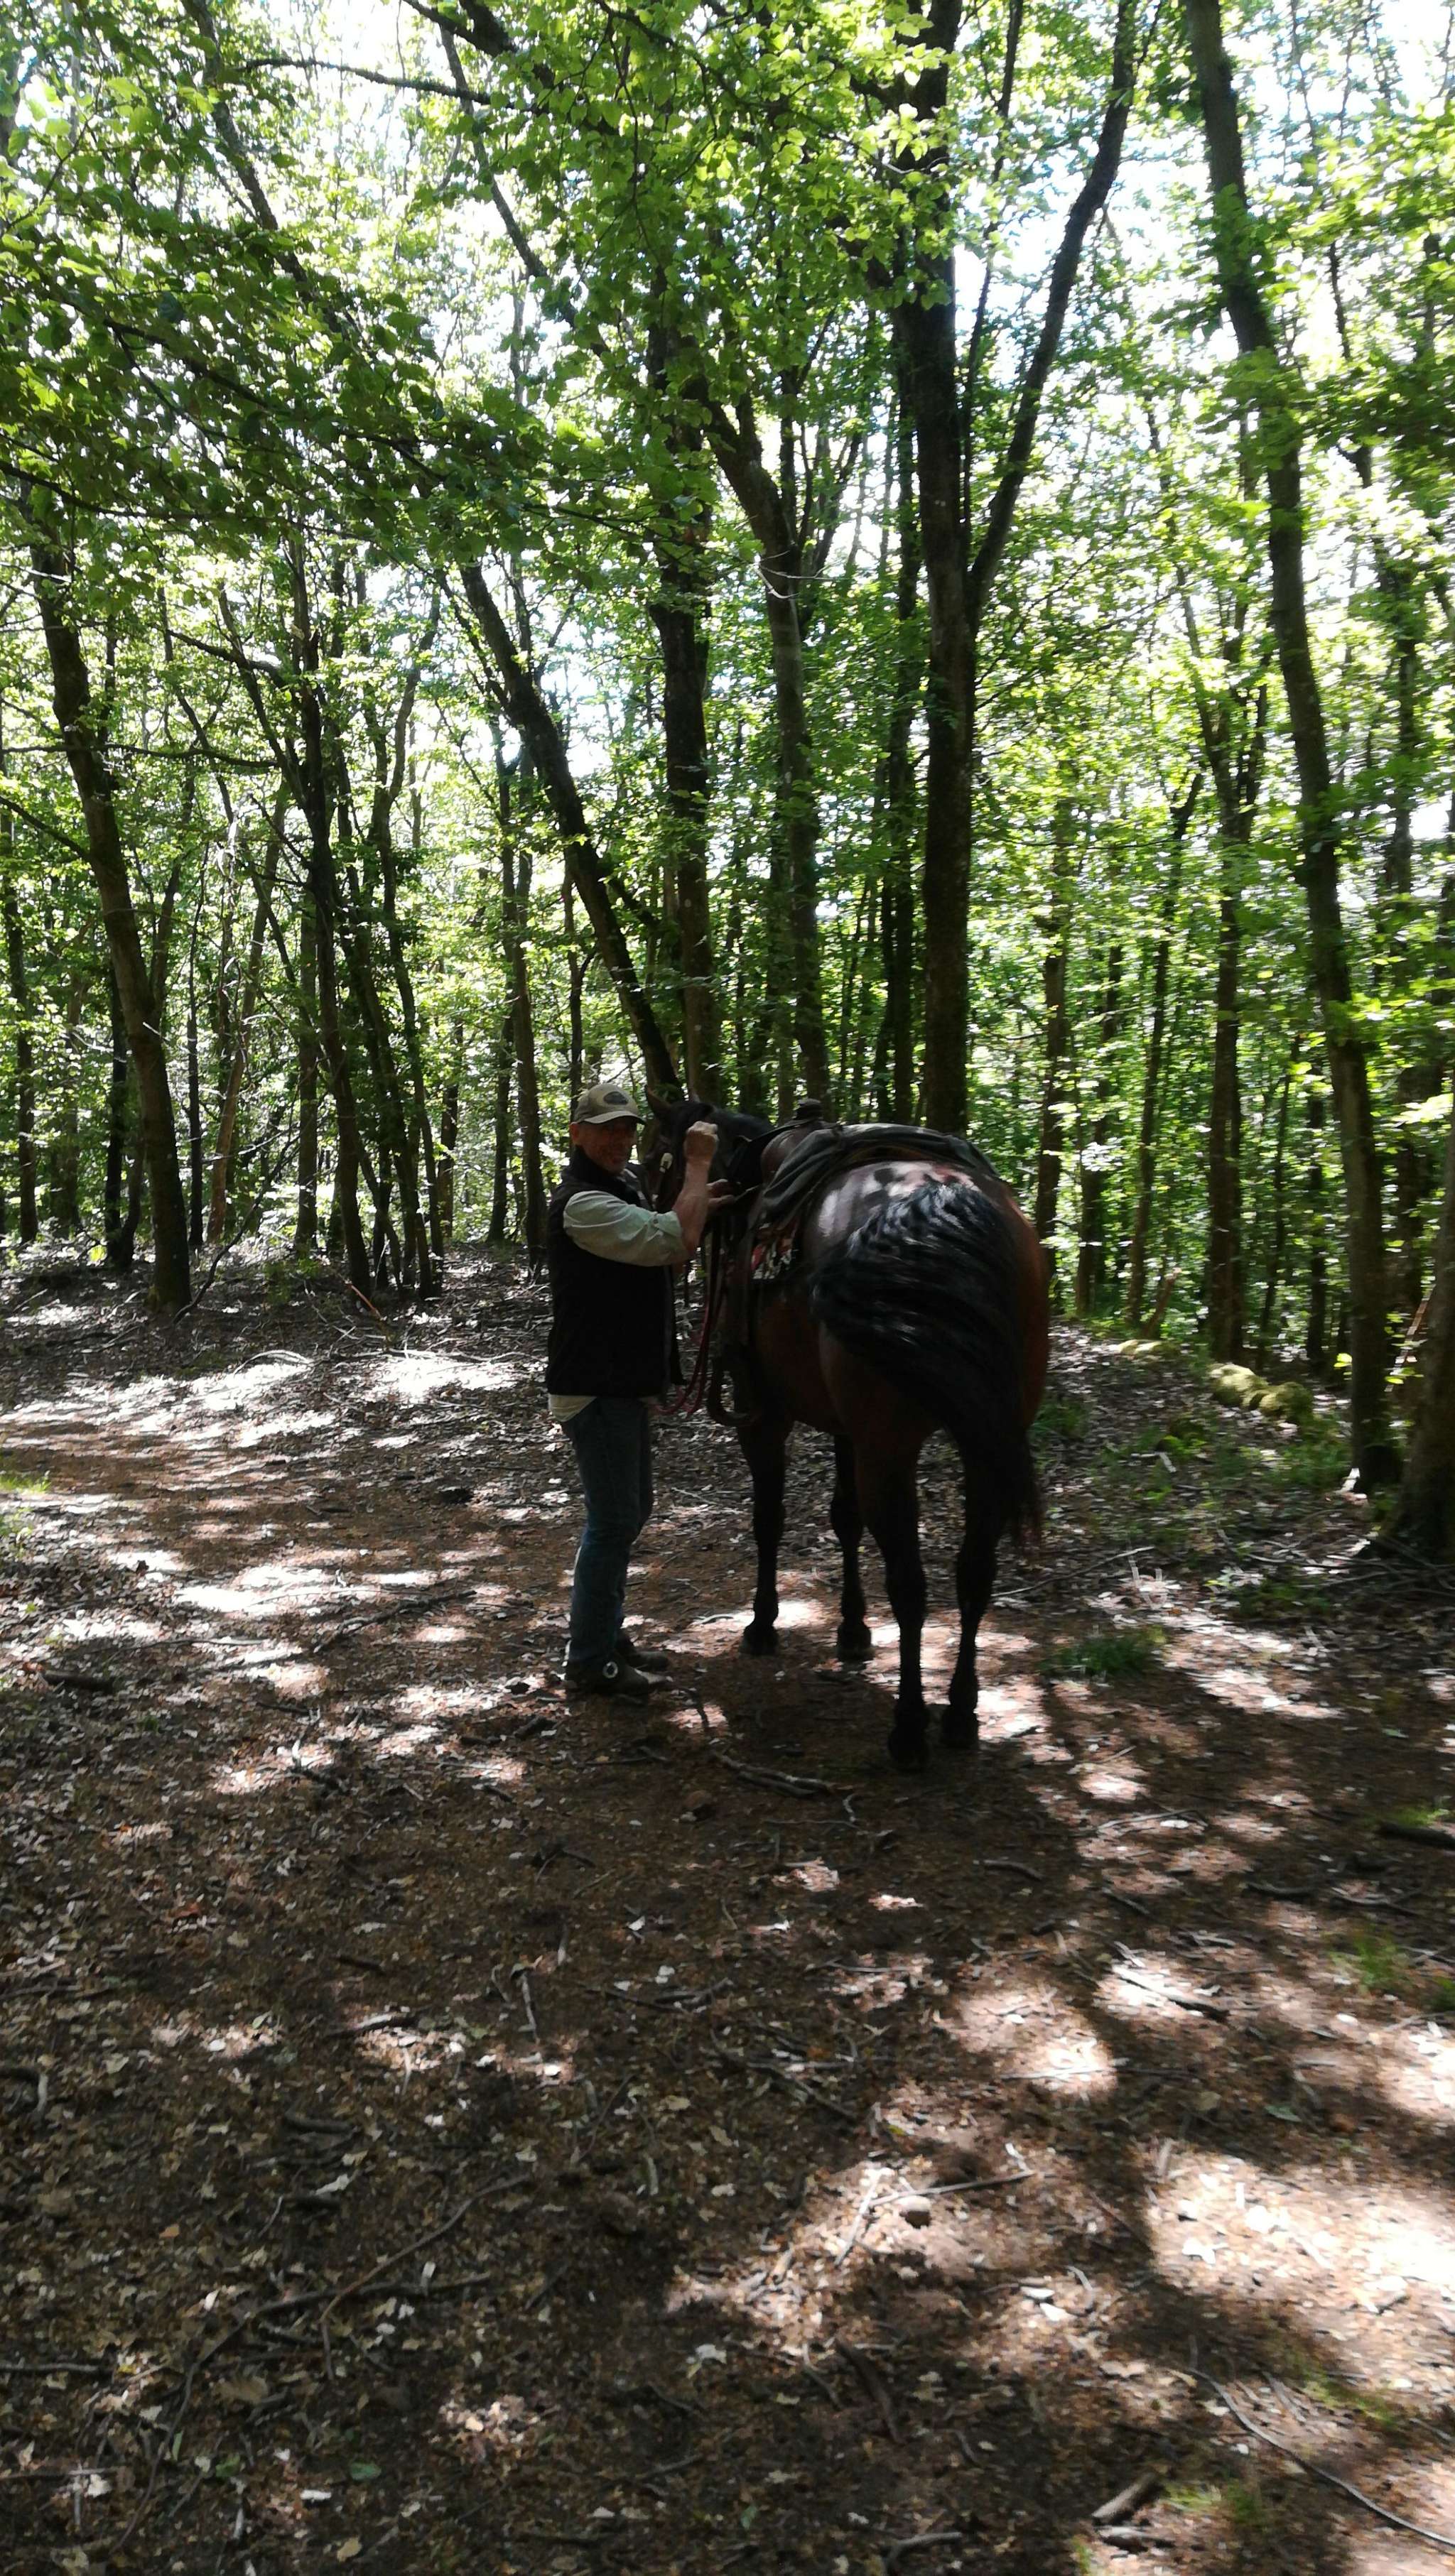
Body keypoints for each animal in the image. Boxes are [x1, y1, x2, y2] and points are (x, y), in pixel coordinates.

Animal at [645, 1097, 1050, 1771]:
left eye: (657, 1155)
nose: (658, 1209)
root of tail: (939, 1203)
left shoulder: (764, 1413)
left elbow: (769, 1518)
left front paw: (763, 1624)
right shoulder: (846, 1427)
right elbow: (844, 1517)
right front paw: (853, 1629)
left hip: (891, 1446)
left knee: (910, 1583)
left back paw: (909, 1728)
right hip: (984, 1441)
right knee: (974, 1571)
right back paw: (960, 1712)